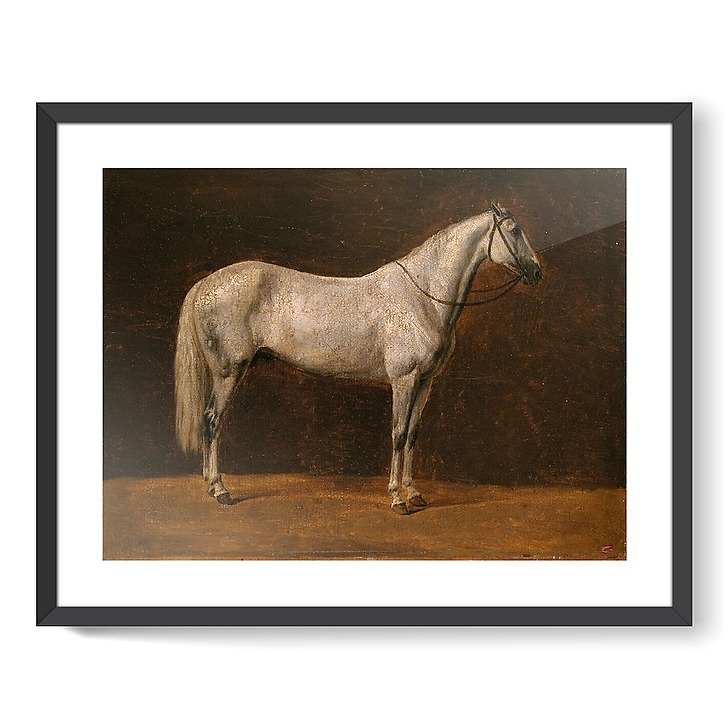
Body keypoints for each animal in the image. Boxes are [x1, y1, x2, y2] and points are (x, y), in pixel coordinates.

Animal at [174, 202, 542, 514]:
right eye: (514, 231)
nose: (537, 272)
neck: (422, 297)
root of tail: (206, 283)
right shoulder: (404, 379)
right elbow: (397, 433)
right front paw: (397, 498)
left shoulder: (425, 380)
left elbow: (413, 433)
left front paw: (414, 494)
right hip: (228, 371)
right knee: (211, 421)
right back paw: (220, 490)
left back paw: (212, 486)